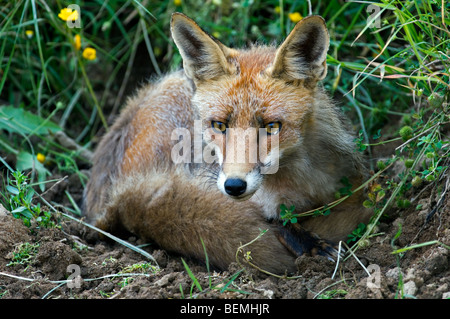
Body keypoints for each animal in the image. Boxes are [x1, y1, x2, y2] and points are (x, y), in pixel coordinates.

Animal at [82, 13, 370, 276]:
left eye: (271, 126)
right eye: (220, 125)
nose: (234, 186)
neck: (300, 180)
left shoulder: (352, 181)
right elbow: (276, 220)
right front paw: (310, 244)